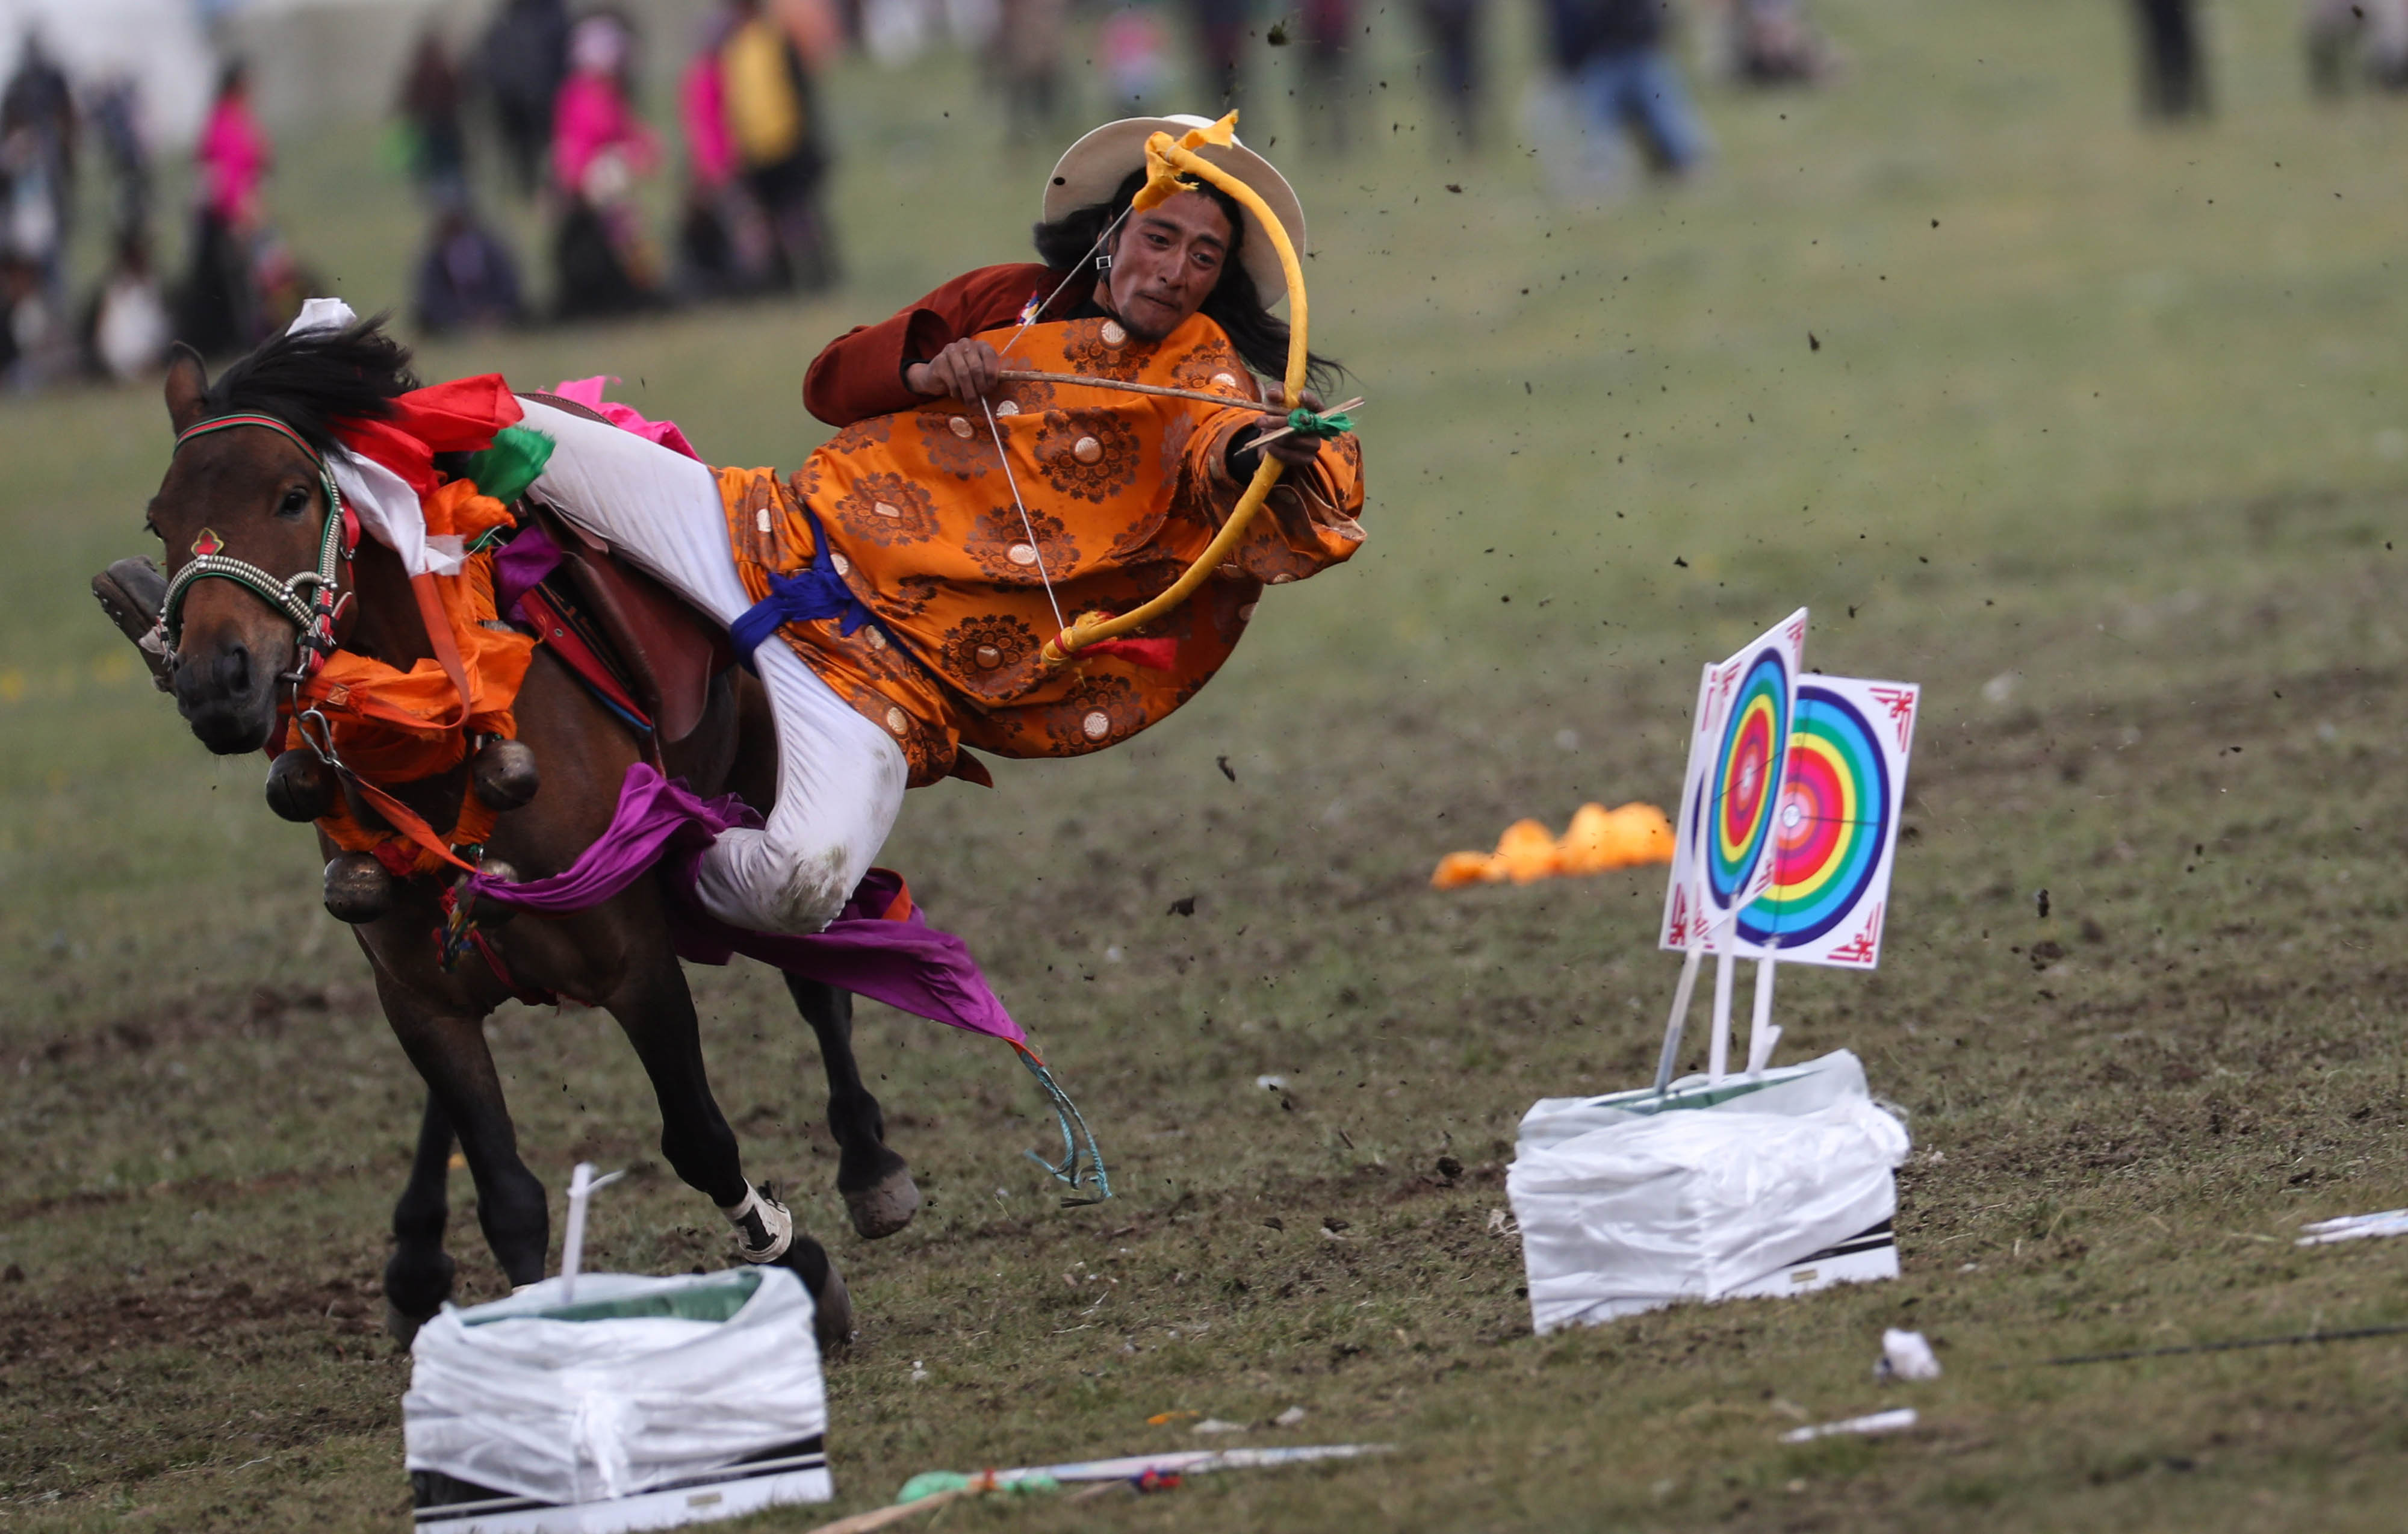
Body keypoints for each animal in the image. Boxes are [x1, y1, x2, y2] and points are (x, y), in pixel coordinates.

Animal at [121, 318, 922, 1350]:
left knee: (814, 979)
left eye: (293, 498)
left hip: (761, 784)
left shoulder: (634, 961)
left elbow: (699, 1139)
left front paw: (800, 1265)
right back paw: (415, 1260)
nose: (216, 682)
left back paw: (870, 1165)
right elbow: (506, 1193)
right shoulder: (418, 996)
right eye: (160, 520)